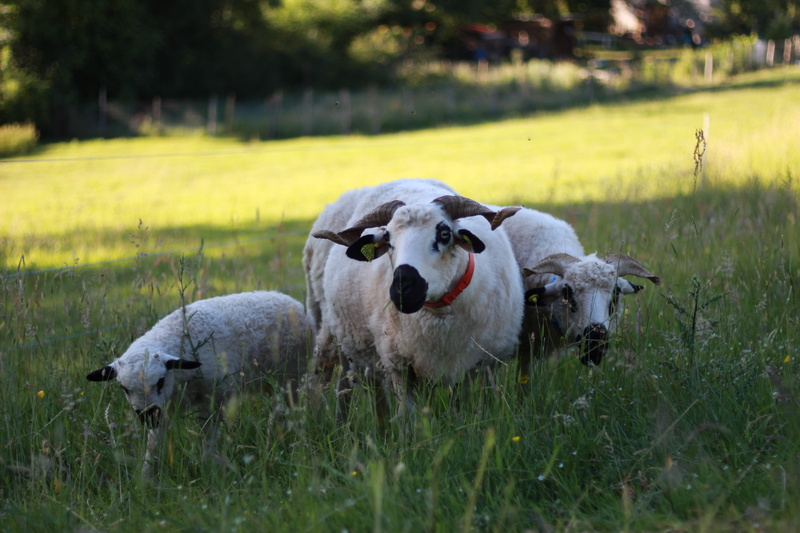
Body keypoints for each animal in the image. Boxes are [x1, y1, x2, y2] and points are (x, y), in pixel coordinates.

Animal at [86, 290, 314, 476]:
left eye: (160, 381)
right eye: (124, 388)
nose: (147, 417)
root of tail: (293, 302)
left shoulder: (214, 396)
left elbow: (207, 436)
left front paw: (213, 465)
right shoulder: (164, 408)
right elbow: (154, 444)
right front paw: (146, 478)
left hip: (291, 374)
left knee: (288, 407)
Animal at [306, 178, 523, 422]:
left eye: (445, 233)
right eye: (387, 238)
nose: (404, 288)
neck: (440, 314)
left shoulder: (476, 364)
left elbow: (461, 412)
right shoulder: (399, 364)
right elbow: (407, 418)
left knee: (366, 383)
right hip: (332, 325)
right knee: (329, 373)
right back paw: (326, 418)